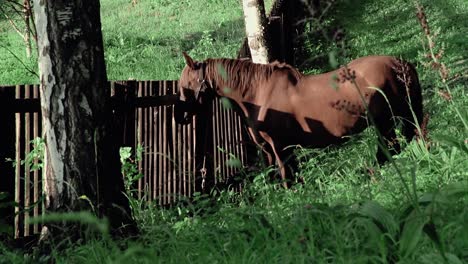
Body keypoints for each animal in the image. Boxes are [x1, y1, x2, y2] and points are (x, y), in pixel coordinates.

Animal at [174, 52, 422, 188]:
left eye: (186, 85)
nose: (180, 117)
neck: (258, 93)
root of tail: (399, 63)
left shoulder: (280, 146)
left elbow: (287, 175)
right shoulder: (270, 148)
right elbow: (280, 174)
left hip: (386, 121)